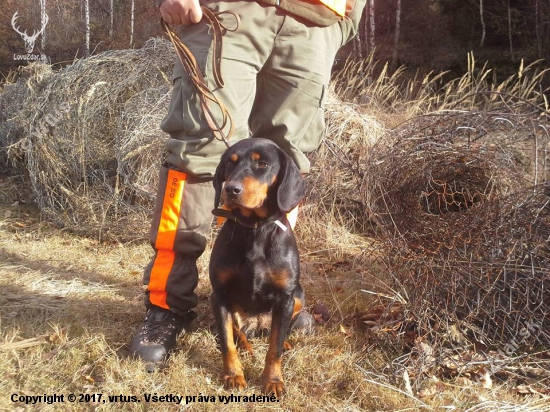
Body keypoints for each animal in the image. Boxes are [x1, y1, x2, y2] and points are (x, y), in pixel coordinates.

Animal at [210, 138, 308, 396]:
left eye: (262, 164)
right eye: (229, 163)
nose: (230, 189)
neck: (255, 228)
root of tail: (258, 325)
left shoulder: (286, 298)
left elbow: (274, 349)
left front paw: (273, 380)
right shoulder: (219, 295)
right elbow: (227, 343)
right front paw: (234, 375)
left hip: (299, 297)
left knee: (278, 333)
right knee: (237, 333)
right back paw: (246, 346)